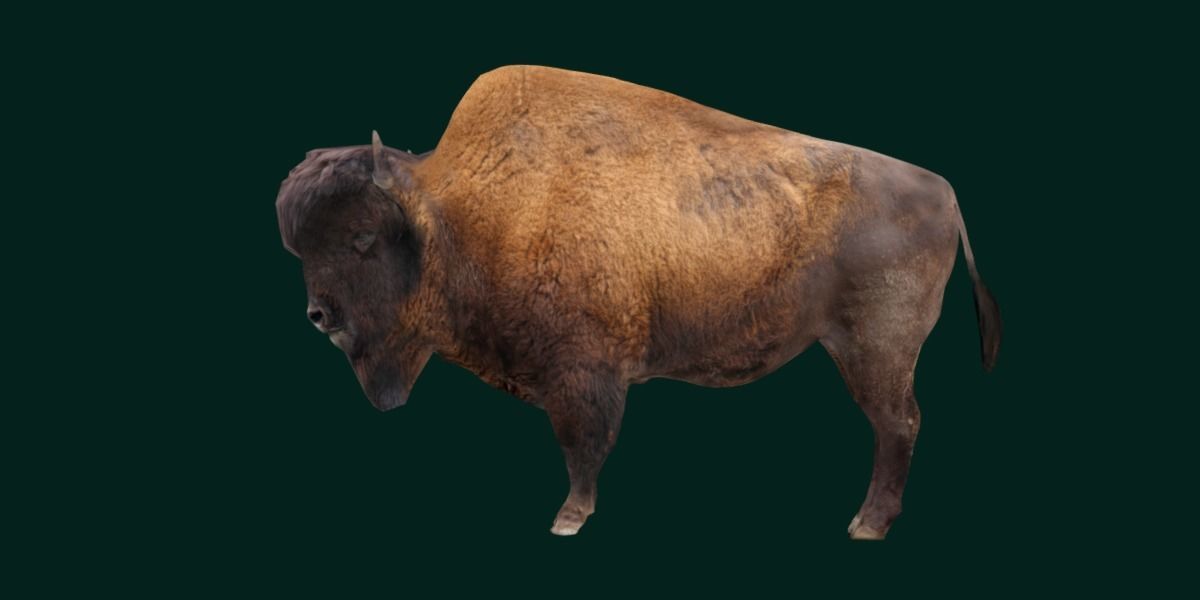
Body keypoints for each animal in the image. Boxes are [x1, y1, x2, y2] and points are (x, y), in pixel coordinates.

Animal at [275, 65, 1001, 539]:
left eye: (363, 238)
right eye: (298, 248)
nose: (318, 315)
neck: (455, 214)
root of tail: (944, 190)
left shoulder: (582, 373)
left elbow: (583, 445)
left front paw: (568, 520)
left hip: (875, 350)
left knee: (897, 423)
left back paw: (866, 525)